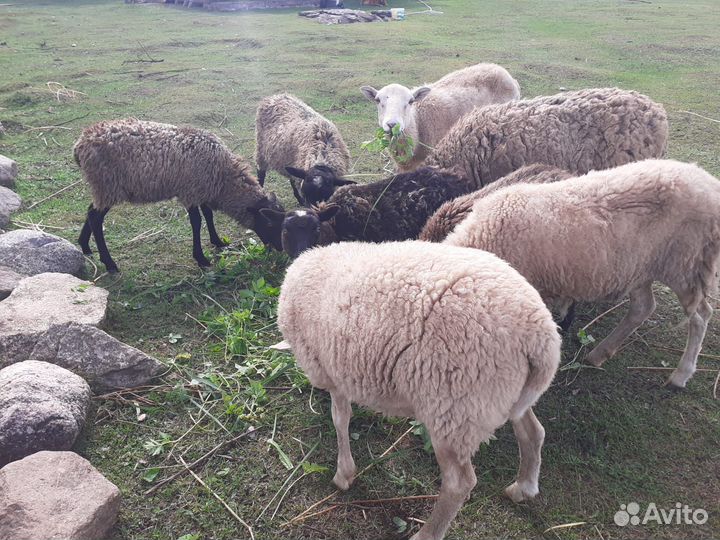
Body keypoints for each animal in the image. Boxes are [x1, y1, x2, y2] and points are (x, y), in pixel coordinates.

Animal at [74, 118, 285, 274]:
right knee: (95, 217)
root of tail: (80, 145)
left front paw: (217, 241)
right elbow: (197, 222)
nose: (280, 249)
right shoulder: (190, 192)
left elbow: (208, 215)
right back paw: (109, 263)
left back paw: (85, 246)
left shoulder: (203, 189)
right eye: (269, 224)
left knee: (91, 211)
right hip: (108, 184)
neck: (223, 178)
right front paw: (201, 258)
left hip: (102, 188)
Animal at [277, 240, 561, 540]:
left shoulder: (332, 371)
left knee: (459, 483)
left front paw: (344, 473)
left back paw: (428, 533)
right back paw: (523, 487)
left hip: (454, 409)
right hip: (502, 398)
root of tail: (540, 337)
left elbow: (340, 419)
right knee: (533, 432)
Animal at [445, 159, 720, 389]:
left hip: (686, 264)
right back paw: (600, 353)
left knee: (700, 316)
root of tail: (708, 182)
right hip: (641, 266)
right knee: (644, 307)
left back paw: (681, 374)